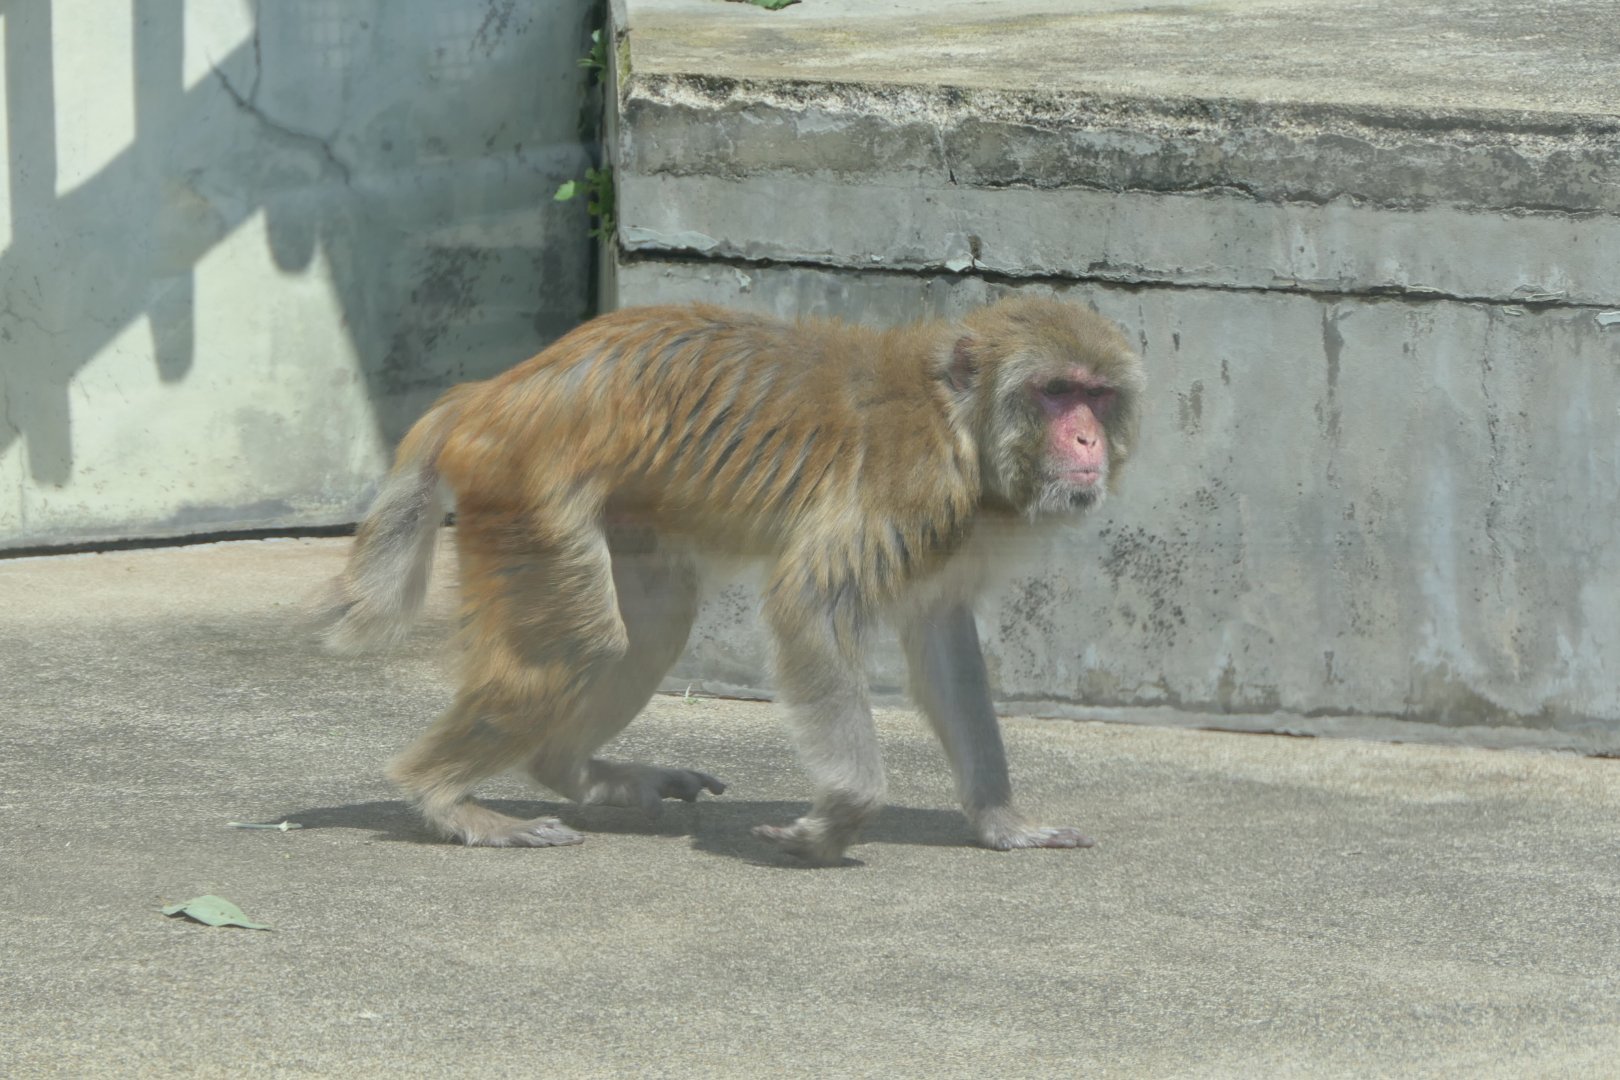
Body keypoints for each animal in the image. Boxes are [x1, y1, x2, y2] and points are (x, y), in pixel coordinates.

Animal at [320, 294, 1144, 864]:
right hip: (526, 491)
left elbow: (942, 640)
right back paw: (442, 797)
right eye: (1054, 391)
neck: (959, 425)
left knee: (649, 628)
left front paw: (1002, 821)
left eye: (1097, 395)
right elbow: (810, 601)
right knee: (583, 640)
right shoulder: (910, 489)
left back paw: (573, 770)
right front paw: (837, 819)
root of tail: (487, 395)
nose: (1086, 440)